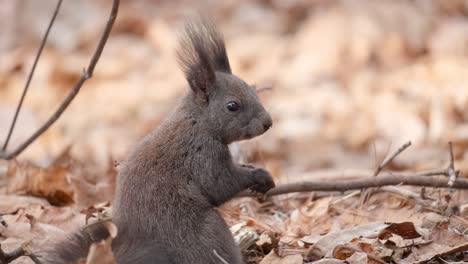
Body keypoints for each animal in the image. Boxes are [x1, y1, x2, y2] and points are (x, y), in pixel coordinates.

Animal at [40, 18, 276, 264]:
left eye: (253, 89)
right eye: (232, 105)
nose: (267, 123)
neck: (198, 123)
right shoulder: (203, 156)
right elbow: (221, 184)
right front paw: (259, 176)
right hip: (204, 234)